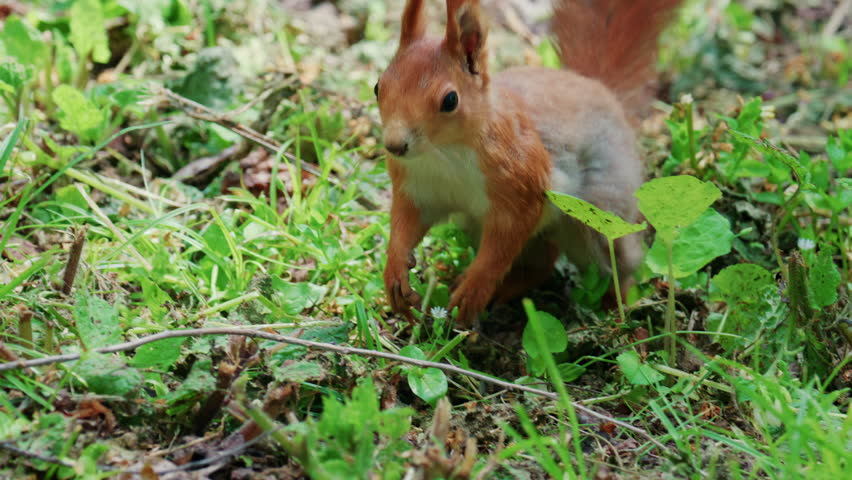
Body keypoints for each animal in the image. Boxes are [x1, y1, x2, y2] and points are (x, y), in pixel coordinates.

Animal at [375, 0, 682, 327]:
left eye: (450, 100)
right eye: (378, 86)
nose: (395, 145)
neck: (444, 153)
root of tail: (597, 86)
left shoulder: (521, 184)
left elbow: (501, 247)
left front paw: (473, 290)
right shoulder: (416, 189)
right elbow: (405, 225)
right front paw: (395, 271)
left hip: (598, 218)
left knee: (613, 261)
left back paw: (619, 307)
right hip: (481, 226)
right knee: (542, 263)